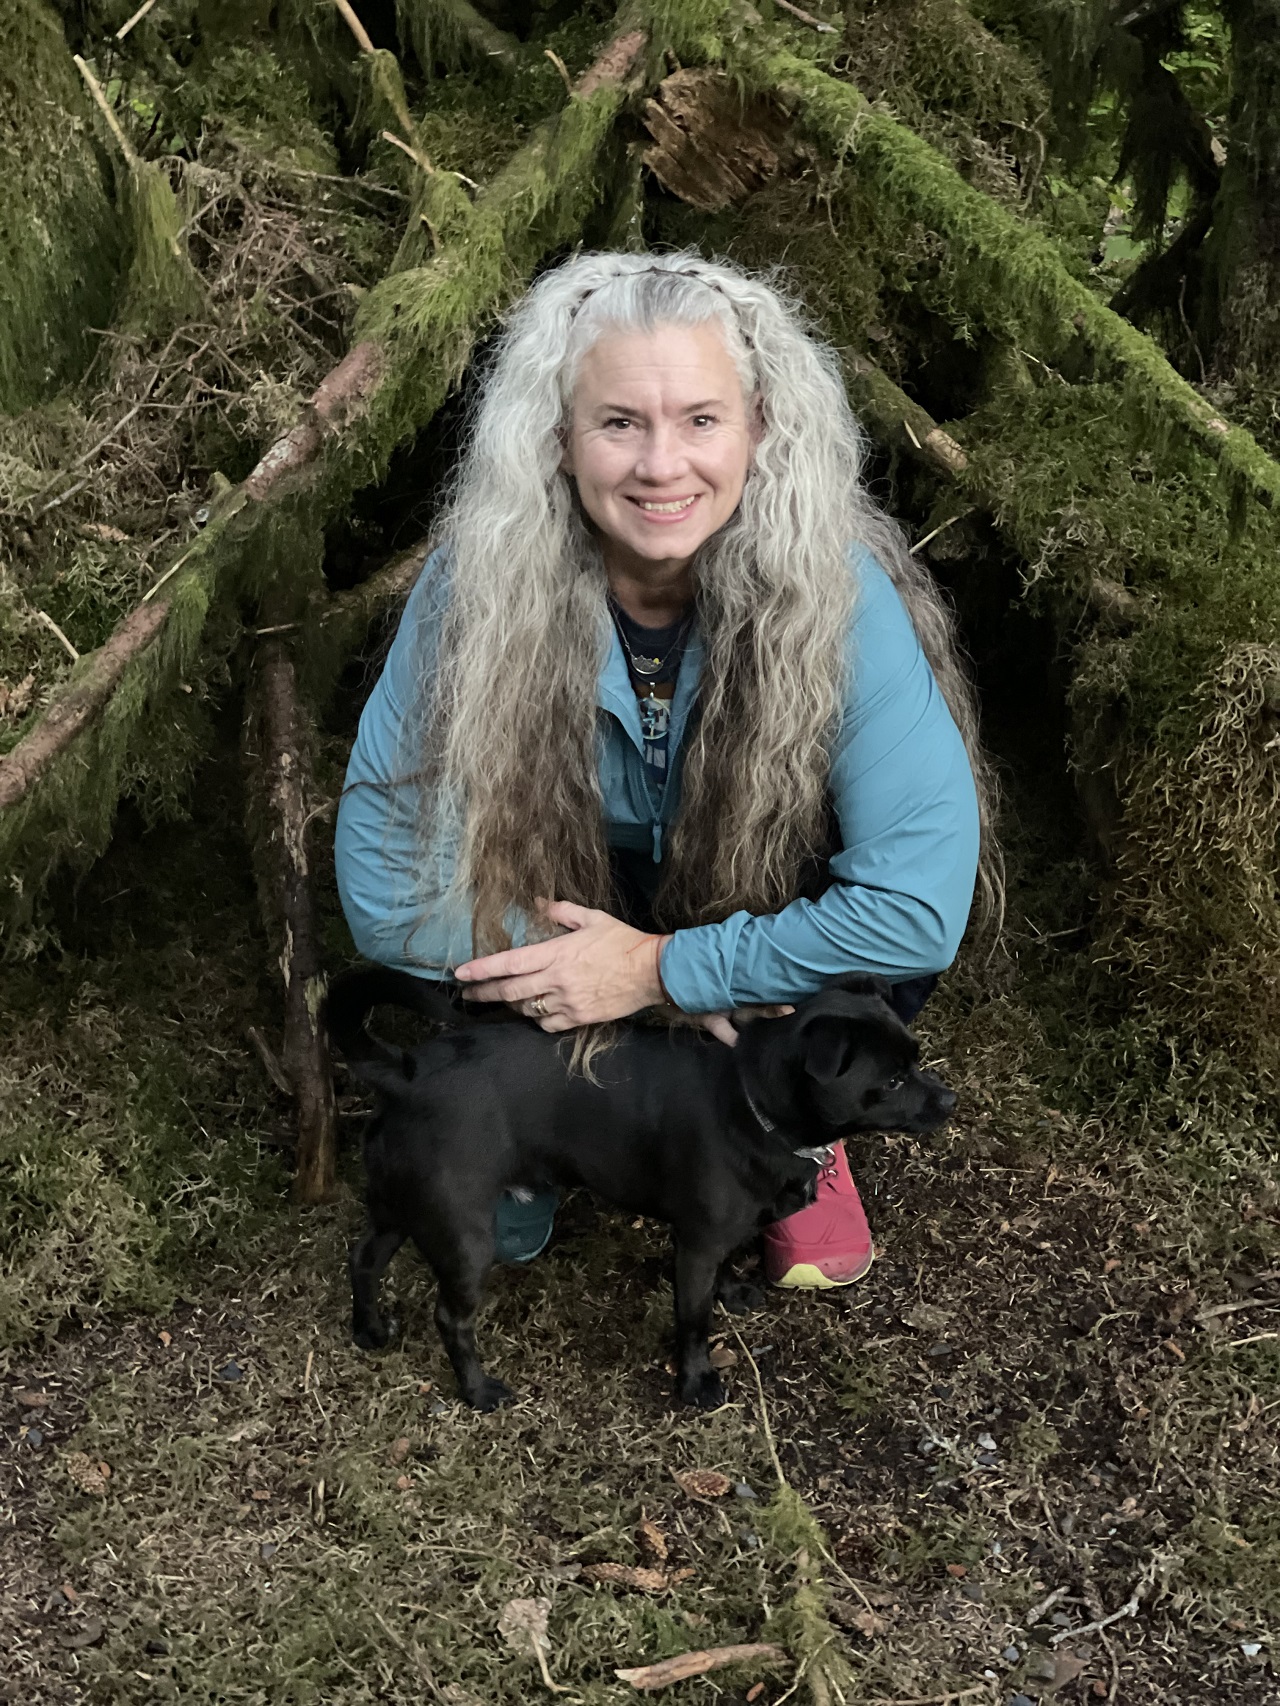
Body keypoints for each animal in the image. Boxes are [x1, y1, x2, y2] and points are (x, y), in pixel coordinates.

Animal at [325, 975, 955, 1412]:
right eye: (893, 1081)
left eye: (917, 1058)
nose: (948, 1099)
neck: (754, 1100)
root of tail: (407, 1074)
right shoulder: (696, 1247)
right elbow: (694, 1321)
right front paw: (697, 1382)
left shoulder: (717, 1237)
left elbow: (727, 1266)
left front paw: (733, 1291)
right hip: (464, 1234)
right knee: (450, 1318)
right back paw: (478, 1390)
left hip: (403, 1206)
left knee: (364, 1258)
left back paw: (369, 1330)